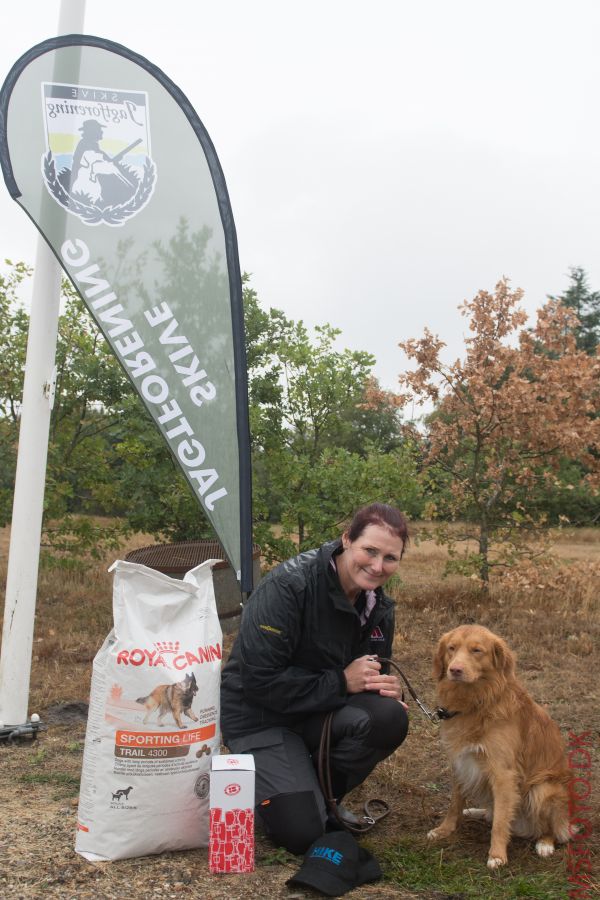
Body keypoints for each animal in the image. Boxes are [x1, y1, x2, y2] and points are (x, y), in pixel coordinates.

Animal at [424, 624, 568, 868]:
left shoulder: (503, 773)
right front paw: (444, 830)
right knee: (490, 812)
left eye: (477, 650)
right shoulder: (460, 763)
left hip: (543, 788)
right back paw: (475, 811)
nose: (455, 670)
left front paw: (497, 855)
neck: (477, 702)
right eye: (451, 648)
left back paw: (545, 843)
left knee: (552, 827)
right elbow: (454, 803)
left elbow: (500, 822)